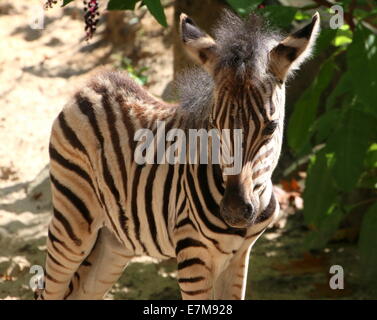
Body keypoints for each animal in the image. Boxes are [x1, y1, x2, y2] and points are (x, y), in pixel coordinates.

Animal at [40, 10, 318, 300]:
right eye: (214, 124)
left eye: (271, 127)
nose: (234, 212)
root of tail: (95, 82)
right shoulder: (192, 253)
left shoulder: (240, 257)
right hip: (73, 220)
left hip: (114, 241)